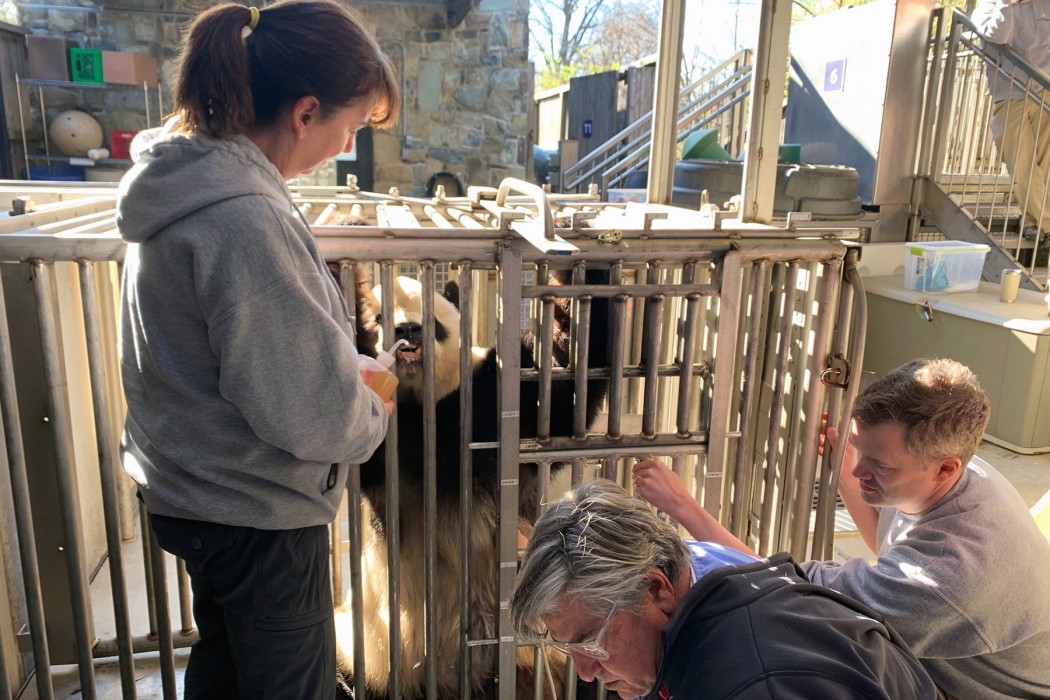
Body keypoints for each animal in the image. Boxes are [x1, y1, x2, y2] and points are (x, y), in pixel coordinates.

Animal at [336, 265, 613, 696]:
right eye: (380, 317)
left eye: (433, 322)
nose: (407, 330)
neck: (422, 409)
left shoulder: (490, 402)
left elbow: (560, 382)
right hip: (366, 651)